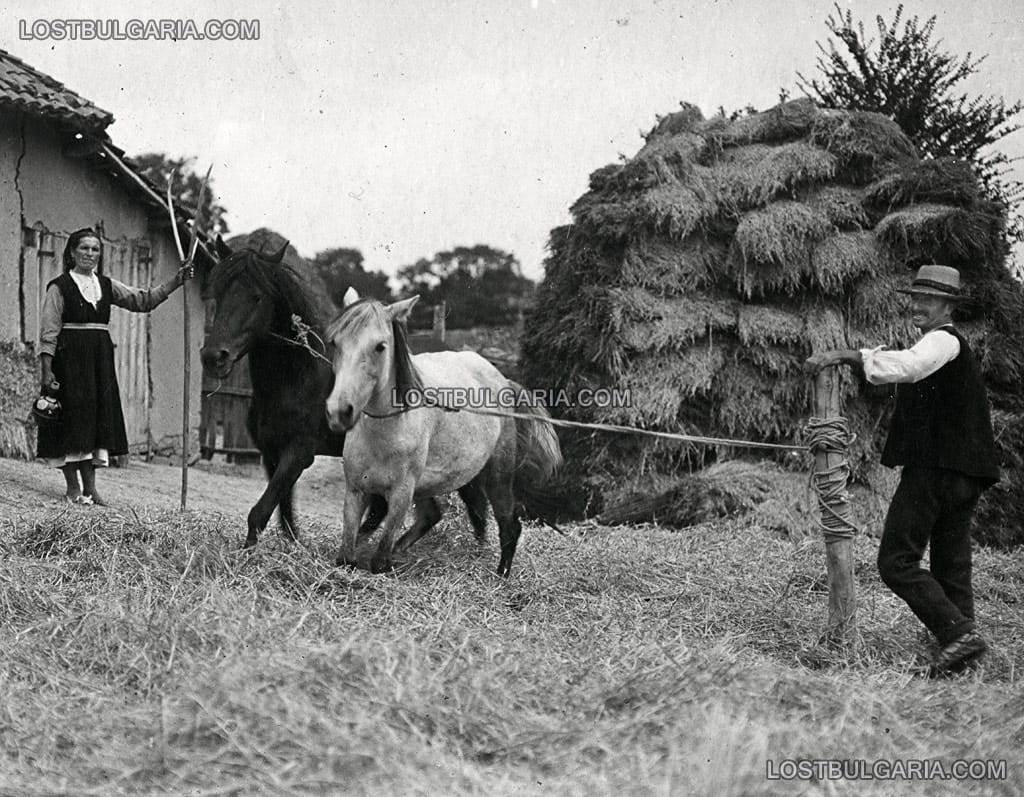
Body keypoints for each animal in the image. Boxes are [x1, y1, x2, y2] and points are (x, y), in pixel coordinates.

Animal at [325, 288, 561, 573]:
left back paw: (501, 575)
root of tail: (503, 379)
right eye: (335, 342)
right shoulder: (356, 490)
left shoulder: (401, 493)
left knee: (508, 525)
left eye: (380, 346)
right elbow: (346, 556)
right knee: (453, 514)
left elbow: (380, 560)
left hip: (498, 475)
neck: (387, 430)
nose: (339, 411)